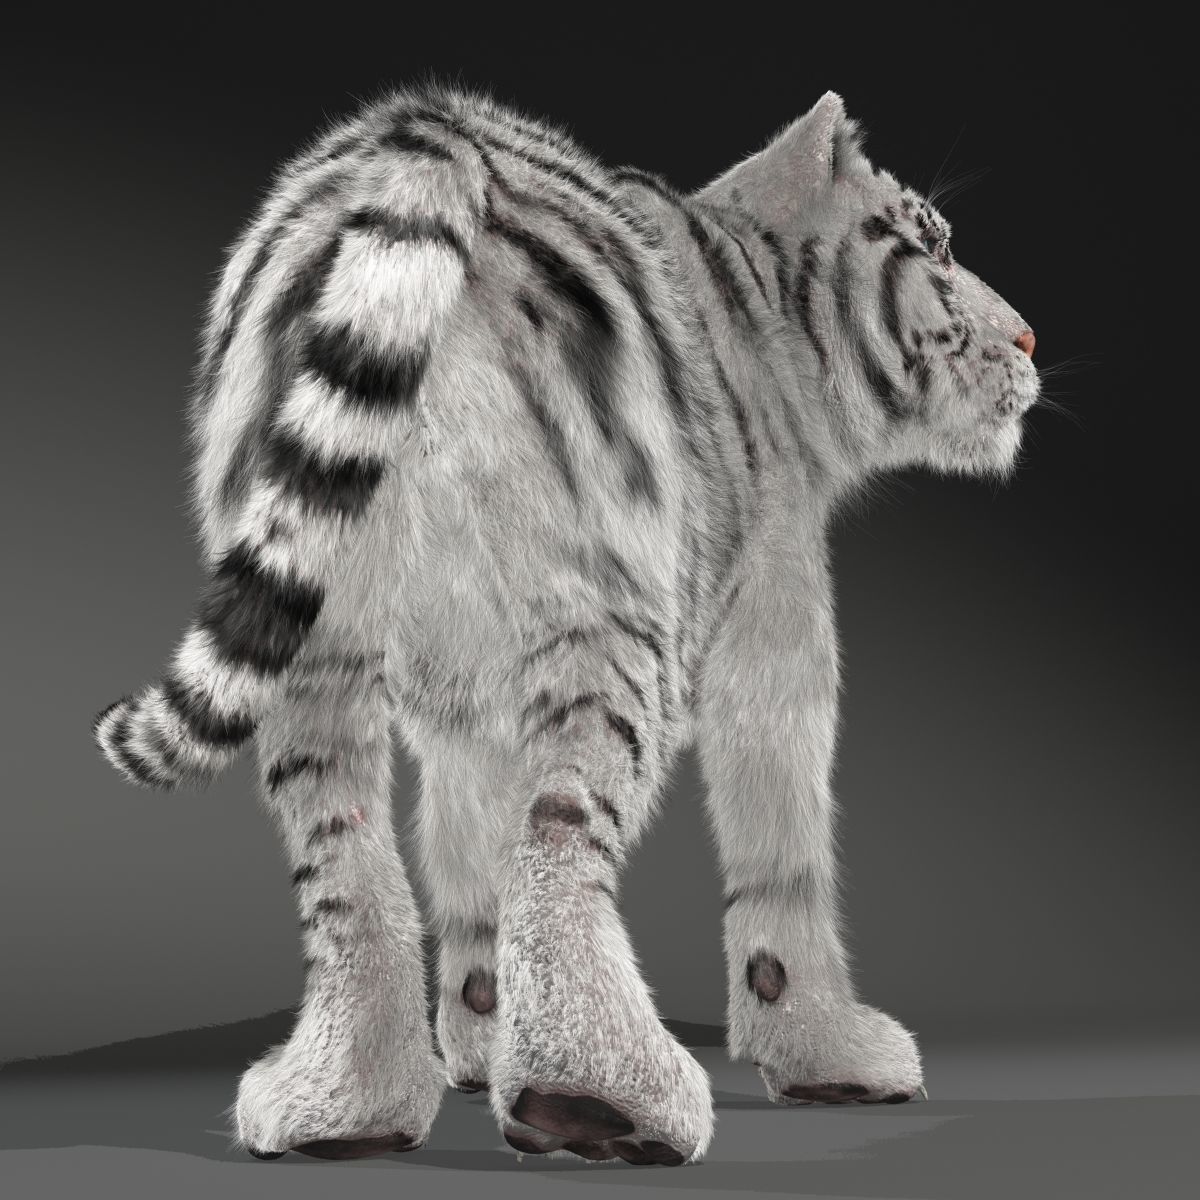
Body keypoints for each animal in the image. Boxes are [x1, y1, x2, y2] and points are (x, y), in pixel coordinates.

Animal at [92, 83, 1039, 1165]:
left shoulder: (461, 693)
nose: (1029, 342)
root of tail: (430, 145)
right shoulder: (773, 609)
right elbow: (783, 843)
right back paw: (596, 1099)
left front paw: (478, 1029)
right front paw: (831, 1051)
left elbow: (465, 842)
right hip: (605, 611)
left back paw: (346, 1103)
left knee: (345, 854)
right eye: (937, 249)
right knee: (558, 827)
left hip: (315, 625)